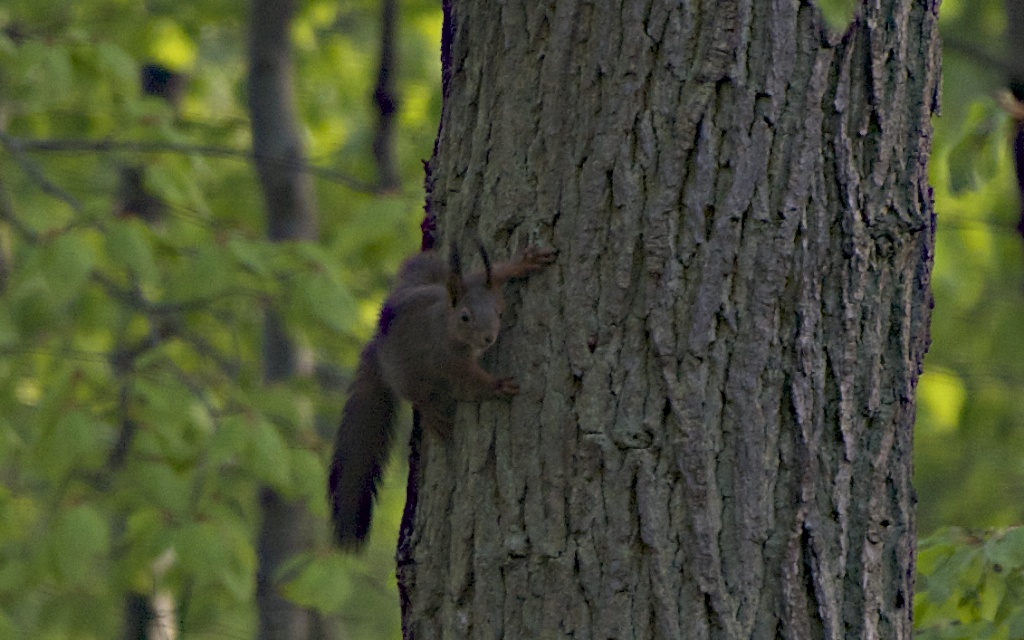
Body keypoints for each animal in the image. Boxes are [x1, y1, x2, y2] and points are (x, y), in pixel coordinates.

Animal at [325, 241, 552, 544]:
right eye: (465, 317)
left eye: (499, 312)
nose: (488, 338)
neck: (447, 321)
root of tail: (378, 345)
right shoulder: (449, 361)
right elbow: (471, 383)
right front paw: (498, 385)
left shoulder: (475, 280)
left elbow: (492, 272)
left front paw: (524, 262)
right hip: (409, 378)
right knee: (417, 399)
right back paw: (434, 419)